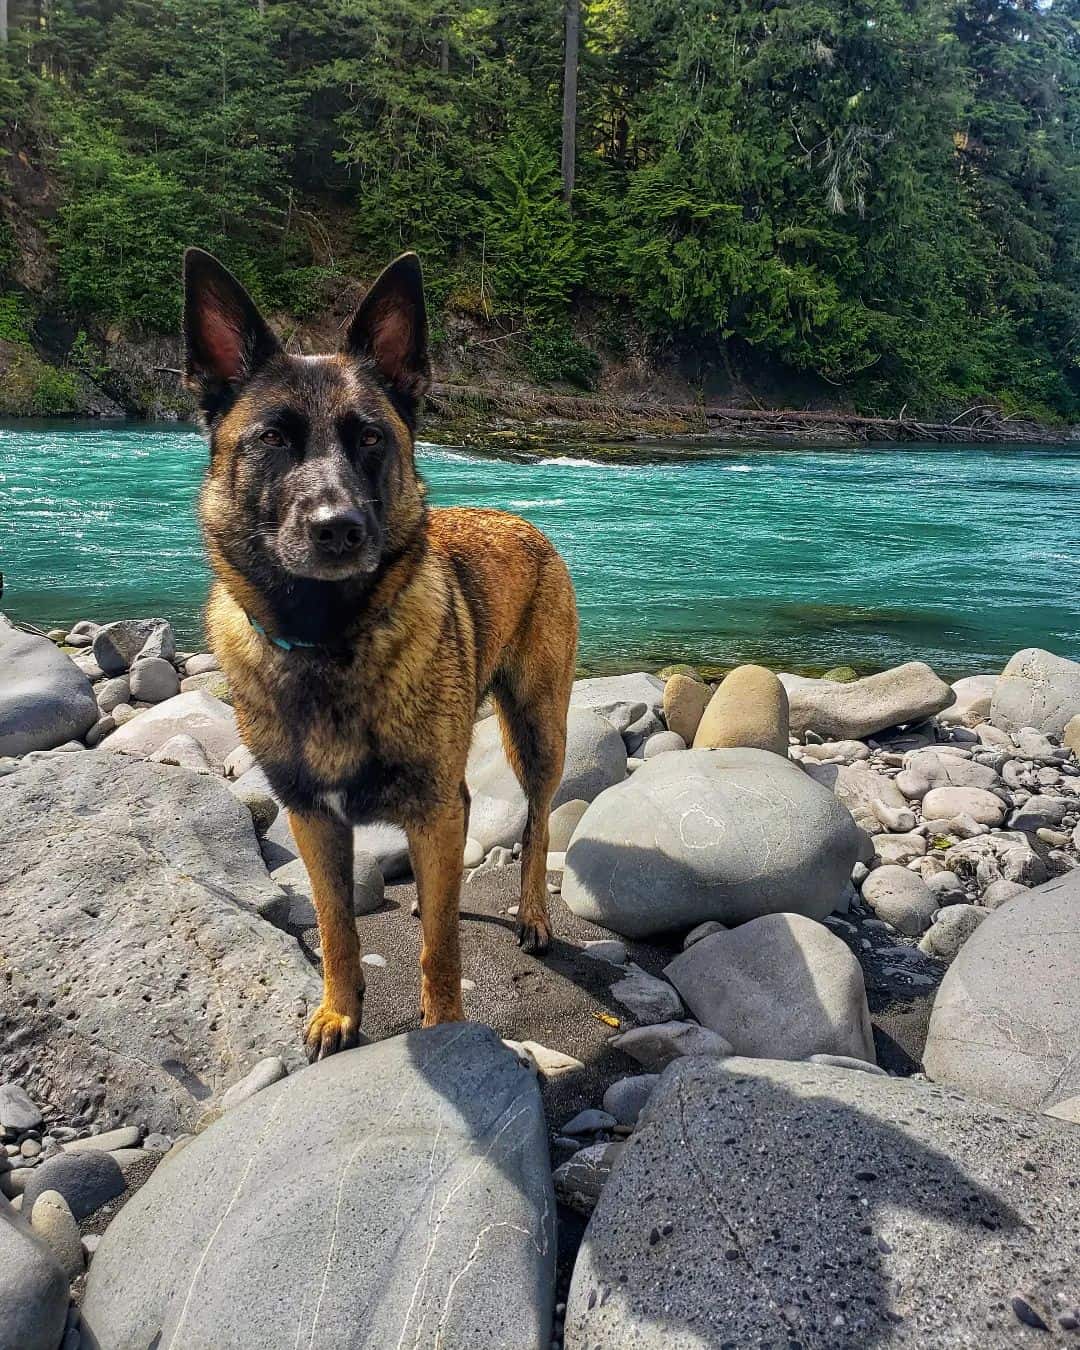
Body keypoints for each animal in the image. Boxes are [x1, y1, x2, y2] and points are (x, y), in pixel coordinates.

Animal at [180, 248, 577, 1058]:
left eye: (369, 437)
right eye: (272, 439)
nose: (337, 528)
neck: (329, 637)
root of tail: (521, 520)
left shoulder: (427, 805)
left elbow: (442, 953)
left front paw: (448, 1029)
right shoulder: (311, 818)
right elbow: (336, 928)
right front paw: (339, 1012)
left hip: (536, 732)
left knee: (537, 823)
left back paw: (531, 915)